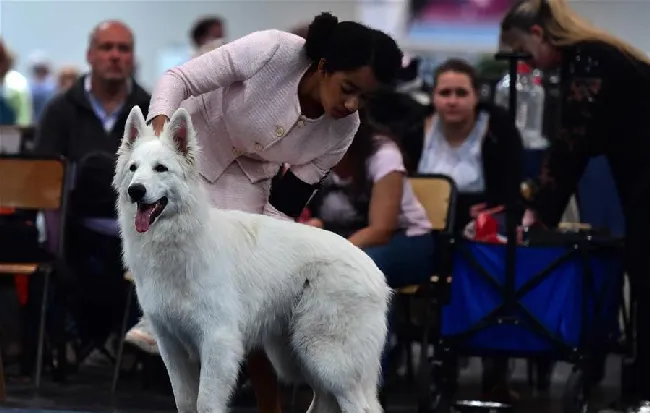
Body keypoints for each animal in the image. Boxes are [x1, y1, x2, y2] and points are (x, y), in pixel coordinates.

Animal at [112, 106, 390, 412]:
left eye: (161, 168)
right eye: (133, 168)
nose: (135, 190)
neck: (180, 238)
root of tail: (376, 272)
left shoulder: (218, 341)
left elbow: (206, 403)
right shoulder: (171, 344)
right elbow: (185, 401)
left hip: (328, 358)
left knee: (361, 406)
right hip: (298, 356)